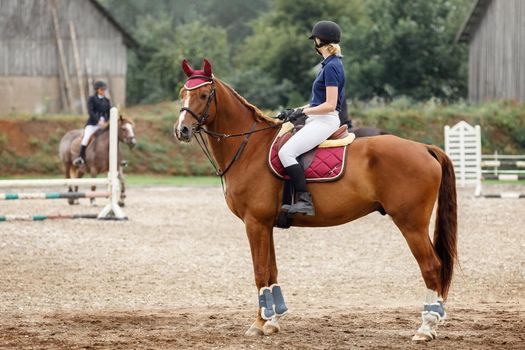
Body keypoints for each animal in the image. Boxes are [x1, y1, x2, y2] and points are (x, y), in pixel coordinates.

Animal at [174, 58, 456, 340]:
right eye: (182, 93)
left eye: (204, 95)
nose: (182, 130)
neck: (250, 147)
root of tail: (424, 148)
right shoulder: (266, 225)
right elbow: (272, 270)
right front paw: (273, 320)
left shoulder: (254, 223)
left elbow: (260, 272)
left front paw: (258, 323)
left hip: (411, 224)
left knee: (431, 266)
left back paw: (425, 327)